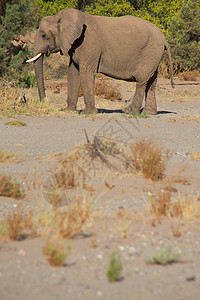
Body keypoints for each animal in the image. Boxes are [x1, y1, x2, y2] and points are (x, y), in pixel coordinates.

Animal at [27, 7, 175, 115]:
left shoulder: (89, 44)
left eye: (44, 35)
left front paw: (87, 113)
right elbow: (73, 72)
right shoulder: (75, 45)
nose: (44, 102)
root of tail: (164, 37)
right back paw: (149, 113)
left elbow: (86, 72)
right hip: (153, 55)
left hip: (149, 52)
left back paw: (129, 111)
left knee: (142, 81)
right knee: (152, 81)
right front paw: (68, 111)